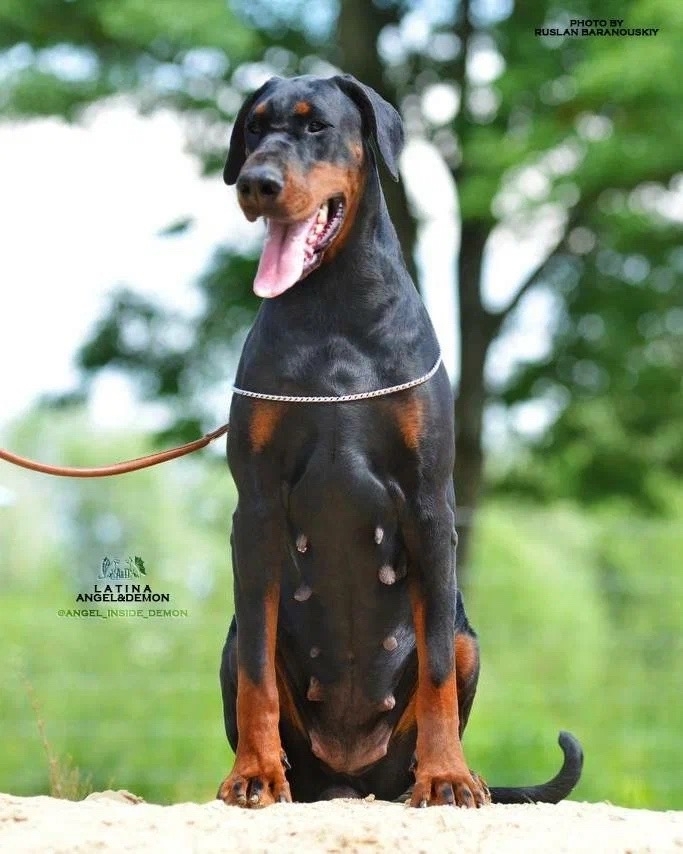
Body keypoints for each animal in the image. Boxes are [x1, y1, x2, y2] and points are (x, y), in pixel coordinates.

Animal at [216, 73, 583, 807]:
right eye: (254, 128)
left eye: (314, 126)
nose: (255, 182)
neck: (333, 307)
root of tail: (351, 778)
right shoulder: (257, 506)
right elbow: (256, 676)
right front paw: (253, 774)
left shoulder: (428, 501)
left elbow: (437, 665)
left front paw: (445, 779)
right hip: (236, 636)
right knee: (250, 655)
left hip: (468, 637)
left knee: (448, 658)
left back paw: (459, 774)